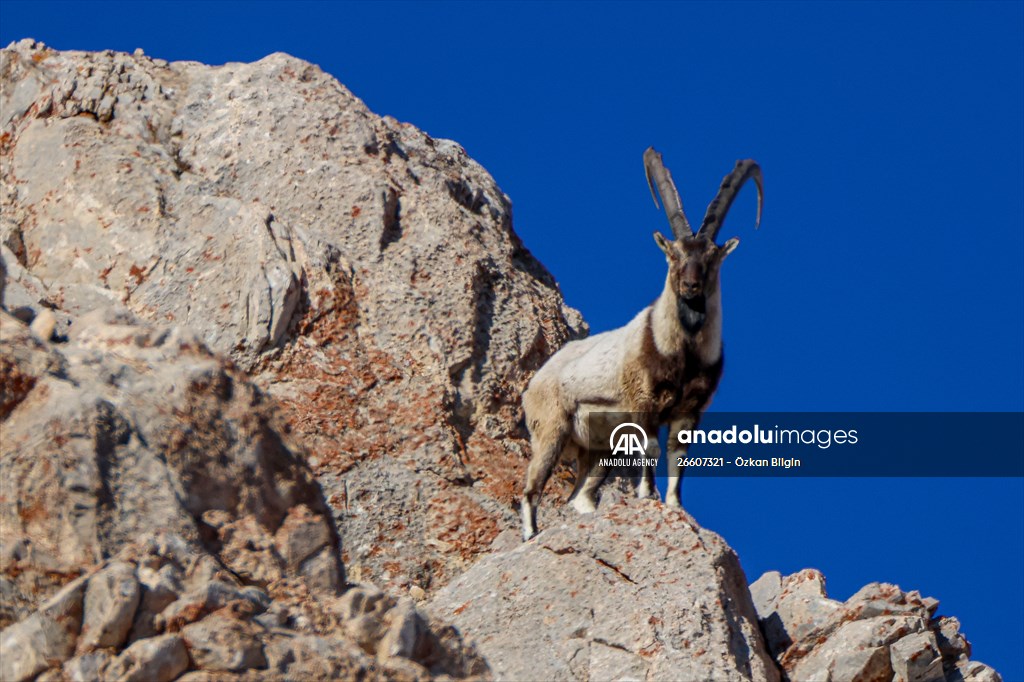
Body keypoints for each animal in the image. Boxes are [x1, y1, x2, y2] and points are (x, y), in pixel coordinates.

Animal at [520, 148, 763, 540]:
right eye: (674, 254)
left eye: (710, 257)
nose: (691, 287)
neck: (683, 354)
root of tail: (535, 382)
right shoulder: (643, 401)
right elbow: (651, 448)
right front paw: (647, 495)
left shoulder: (689, 411)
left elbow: (677, 457)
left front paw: (676, 506)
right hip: (551, 429)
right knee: (530, 488)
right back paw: (530, 534)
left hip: (598, 449)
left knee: (580, 496)